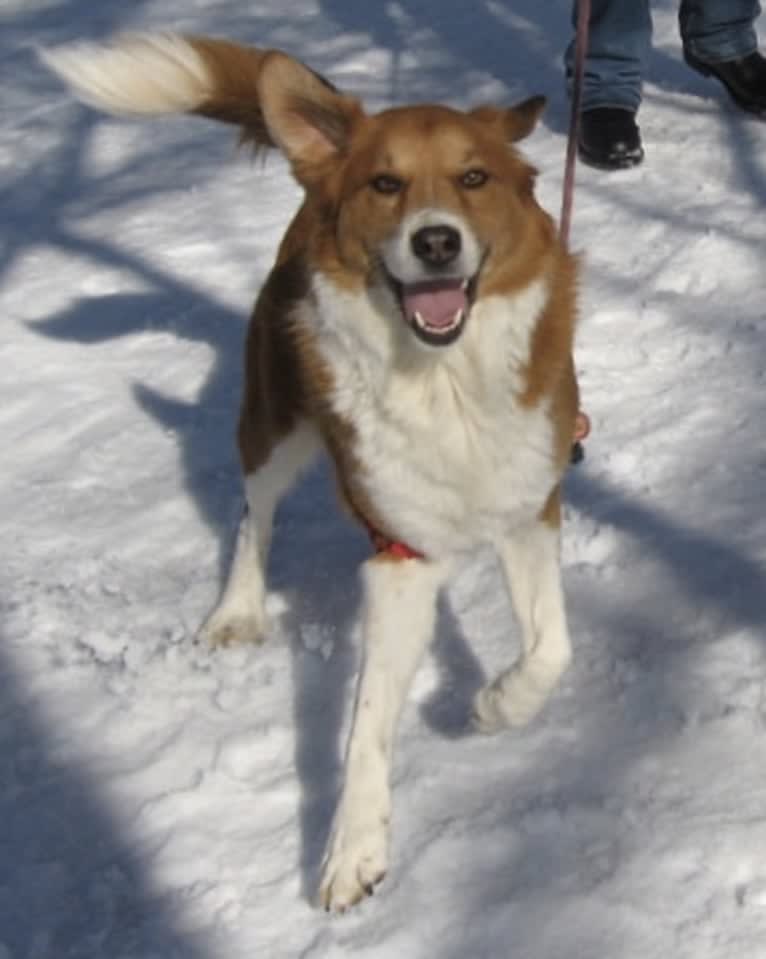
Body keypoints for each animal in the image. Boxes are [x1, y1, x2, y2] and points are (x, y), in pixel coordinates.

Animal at [43, 33, 584, 912]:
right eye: (385, 183)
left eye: (474, 178)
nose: (437, 241)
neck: (444, 379)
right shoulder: (401, 557)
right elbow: (365, 724)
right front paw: (353, 848)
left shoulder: (528, 501)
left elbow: (550, 648)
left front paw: (496, 705)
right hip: (275, 418)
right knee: (252, 512)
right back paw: (236, 609)